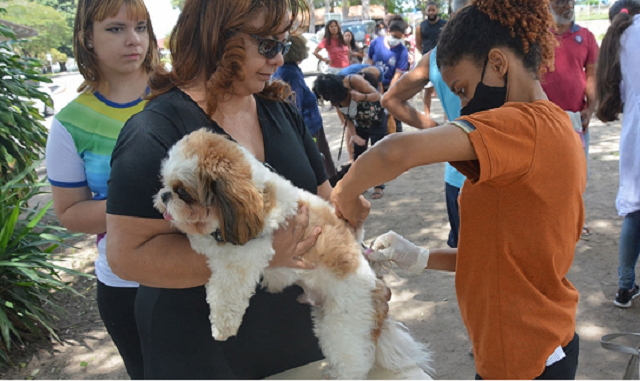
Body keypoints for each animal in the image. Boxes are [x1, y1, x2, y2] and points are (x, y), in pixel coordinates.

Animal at [153, 129, 432, 378]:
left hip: (344, 326)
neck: (257, 193)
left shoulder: (248, 253)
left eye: (183, 192)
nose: (164, 196)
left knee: (355, 363)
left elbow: (226, 291)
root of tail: (375, 286)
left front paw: (222, 326)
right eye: (165, 183)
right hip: (325, 319)